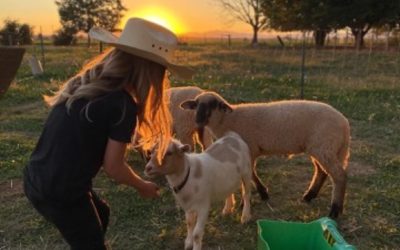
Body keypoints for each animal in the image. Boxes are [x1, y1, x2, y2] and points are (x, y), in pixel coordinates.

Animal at [181, 91, 350, 219]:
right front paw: (263, 194)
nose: (198, 119)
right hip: (321, 148)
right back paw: (309, 196)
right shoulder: (251, 151)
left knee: (339, 175)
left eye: (214, 104)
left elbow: (250, 177)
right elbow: (252, 175)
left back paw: (335, 210)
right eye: (196, 105)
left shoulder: (250, 149)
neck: (228, 120)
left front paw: (250, 199)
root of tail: (344, 123)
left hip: (324, 146)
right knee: (322, 171)